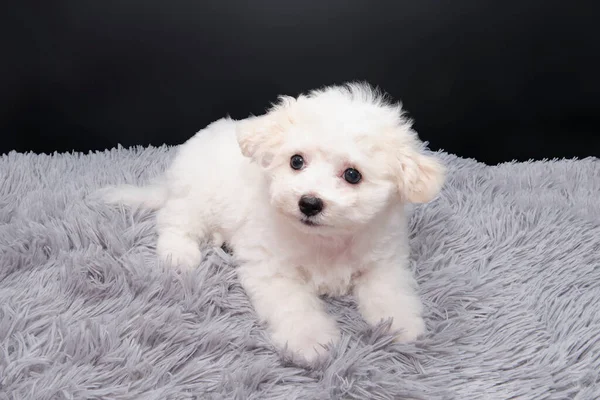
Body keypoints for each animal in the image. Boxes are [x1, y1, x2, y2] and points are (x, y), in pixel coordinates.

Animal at [99, 83, 446, 360]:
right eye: (296, 161)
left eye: (352, 175)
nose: (309, 203)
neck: (325, 239)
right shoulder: (273, 269)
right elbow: (294, 306)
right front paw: (312, 341)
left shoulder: (383, 260)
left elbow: (391, 291)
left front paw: (401, 325)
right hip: (196, 198)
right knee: (174, 221)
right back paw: (179, 253)